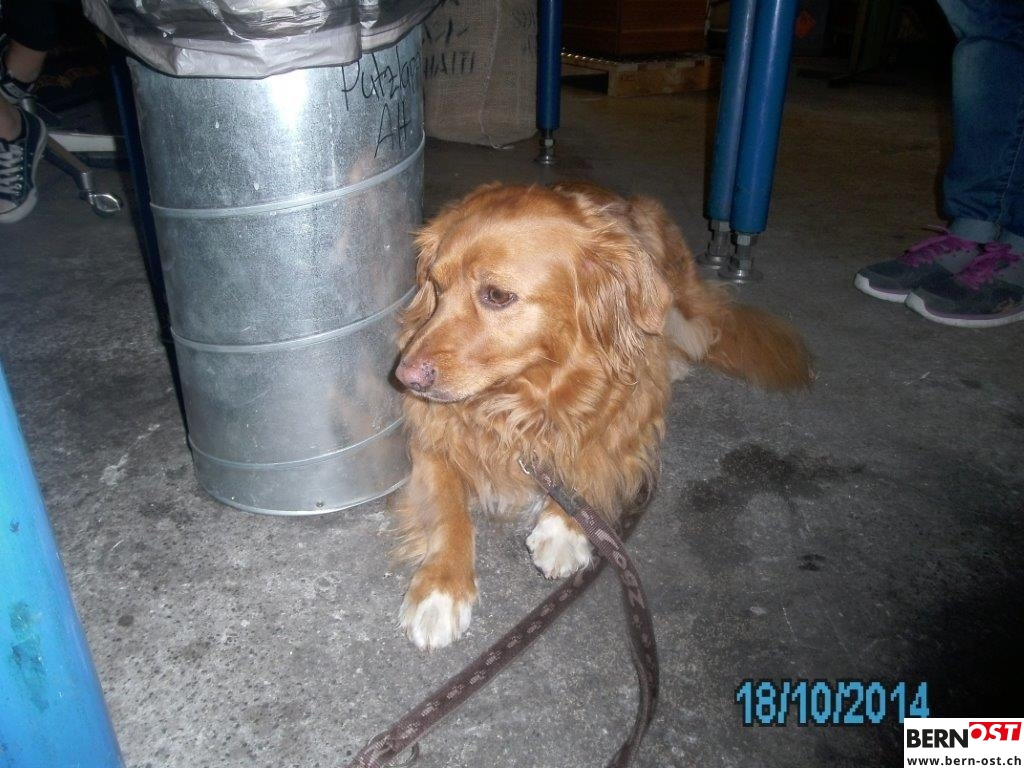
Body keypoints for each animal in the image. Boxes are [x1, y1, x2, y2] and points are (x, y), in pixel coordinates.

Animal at [390, 182, 812, 650]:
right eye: (435, 285)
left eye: (497, 295)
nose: (405, 376)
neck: (526, 398)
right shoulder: (429, 439)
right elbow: (449, 511)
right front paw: (440, 590)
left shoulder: (632, 424)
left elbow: (592, 462)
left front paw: (564, 527)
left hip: (674, 301)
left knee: (701, 333)